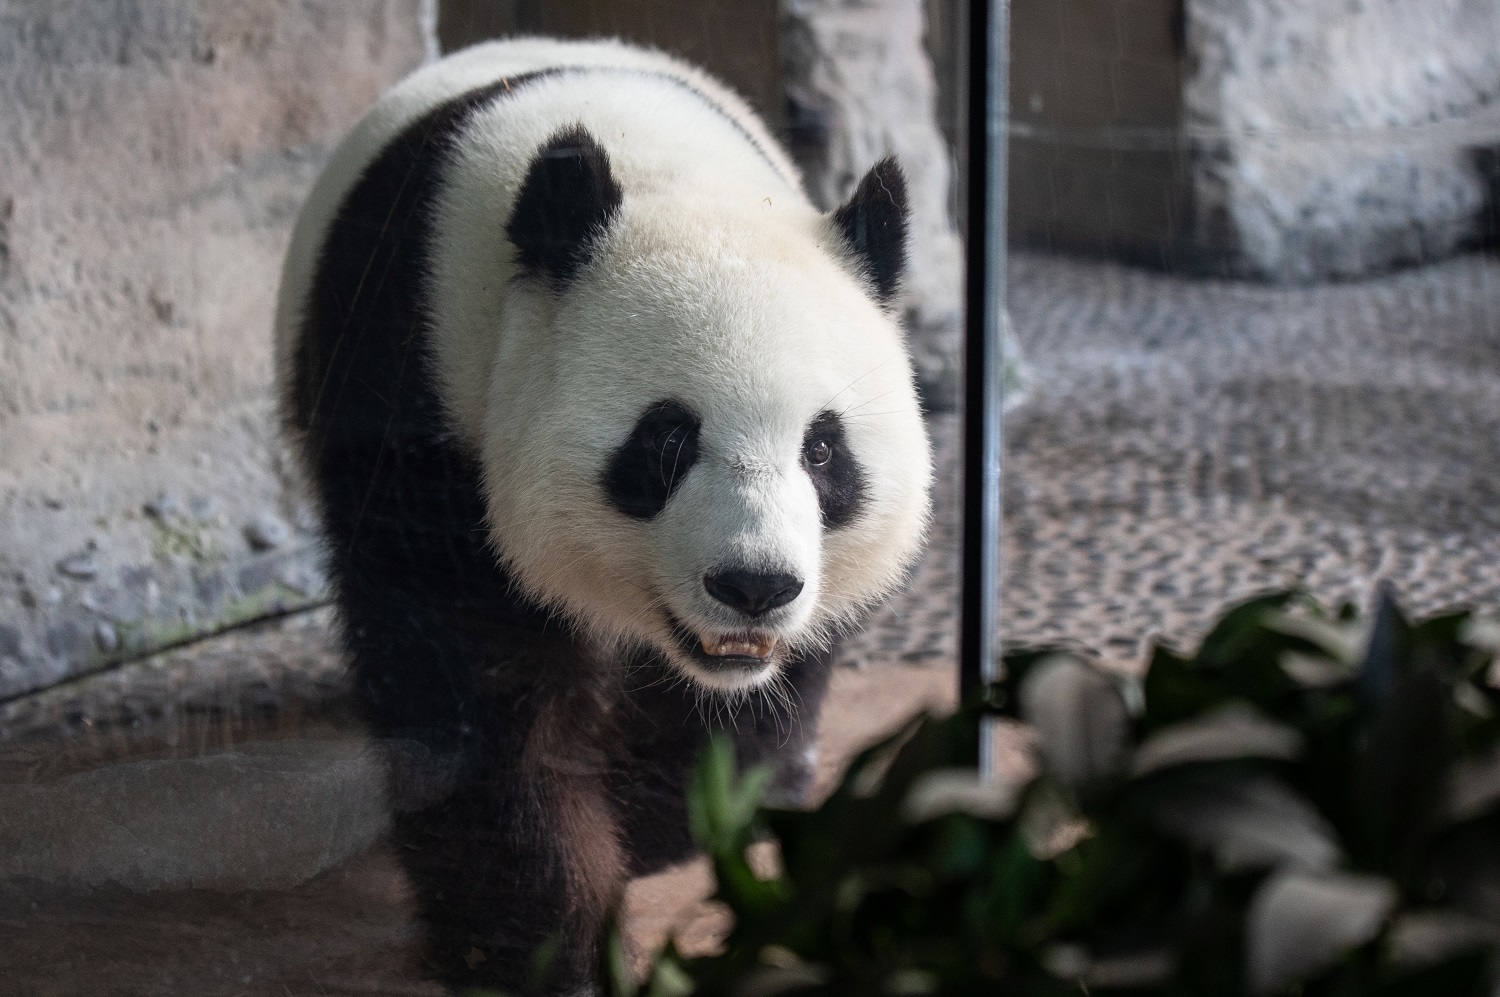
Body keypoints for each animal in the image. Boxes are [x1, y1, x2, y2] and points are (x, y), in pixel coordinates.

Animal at [270, 38, 924, 995]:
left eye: (823, 450)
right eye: (667, 440)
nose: (754, 586)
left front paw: (666, 820)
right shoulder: (419, 394)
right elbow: (481, 691)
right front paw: (539, 943)